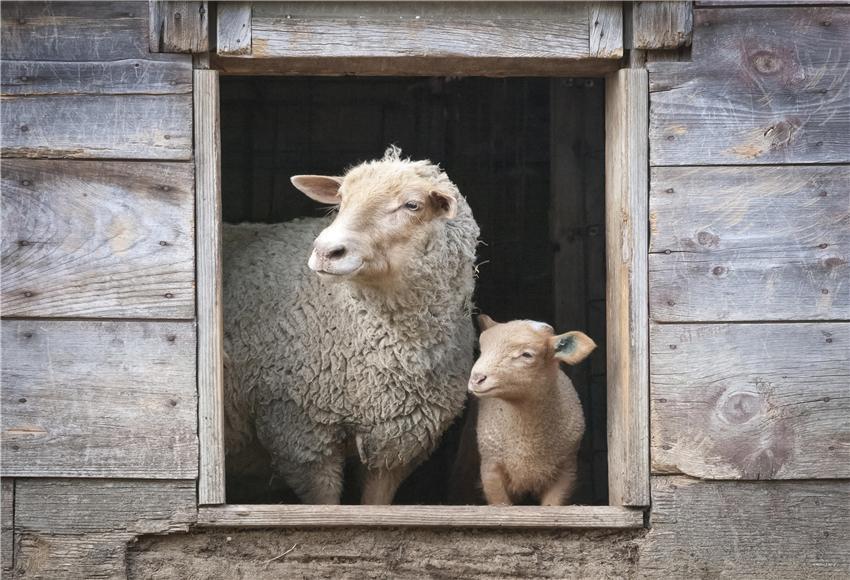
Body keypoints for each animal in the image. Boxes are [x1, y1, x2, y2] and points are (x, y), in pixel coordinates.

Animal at [464, 314, 596, 506]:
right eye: (482, 349)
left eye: (527, 354)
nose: (477, 378)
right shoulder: (491, 468)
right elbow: (500, 504)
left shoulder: (566, 470)